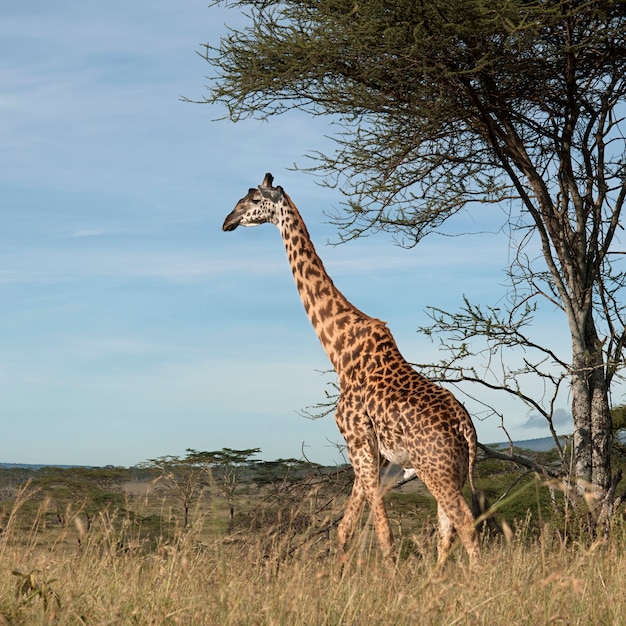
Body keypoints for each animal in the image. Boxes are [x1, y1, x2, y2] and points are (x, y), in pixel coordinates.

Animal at [223, 173, 478, 564]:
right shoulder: (375, 454)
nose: (227, 221)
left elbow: (383, 533)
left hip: (433, 467)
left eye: (252, 198)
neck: (339, 350)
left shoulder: (357, 441)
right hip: (452, 469)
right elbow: (344, 529)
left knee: (464, 522)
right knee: (446, 528)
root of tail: (466, 426)